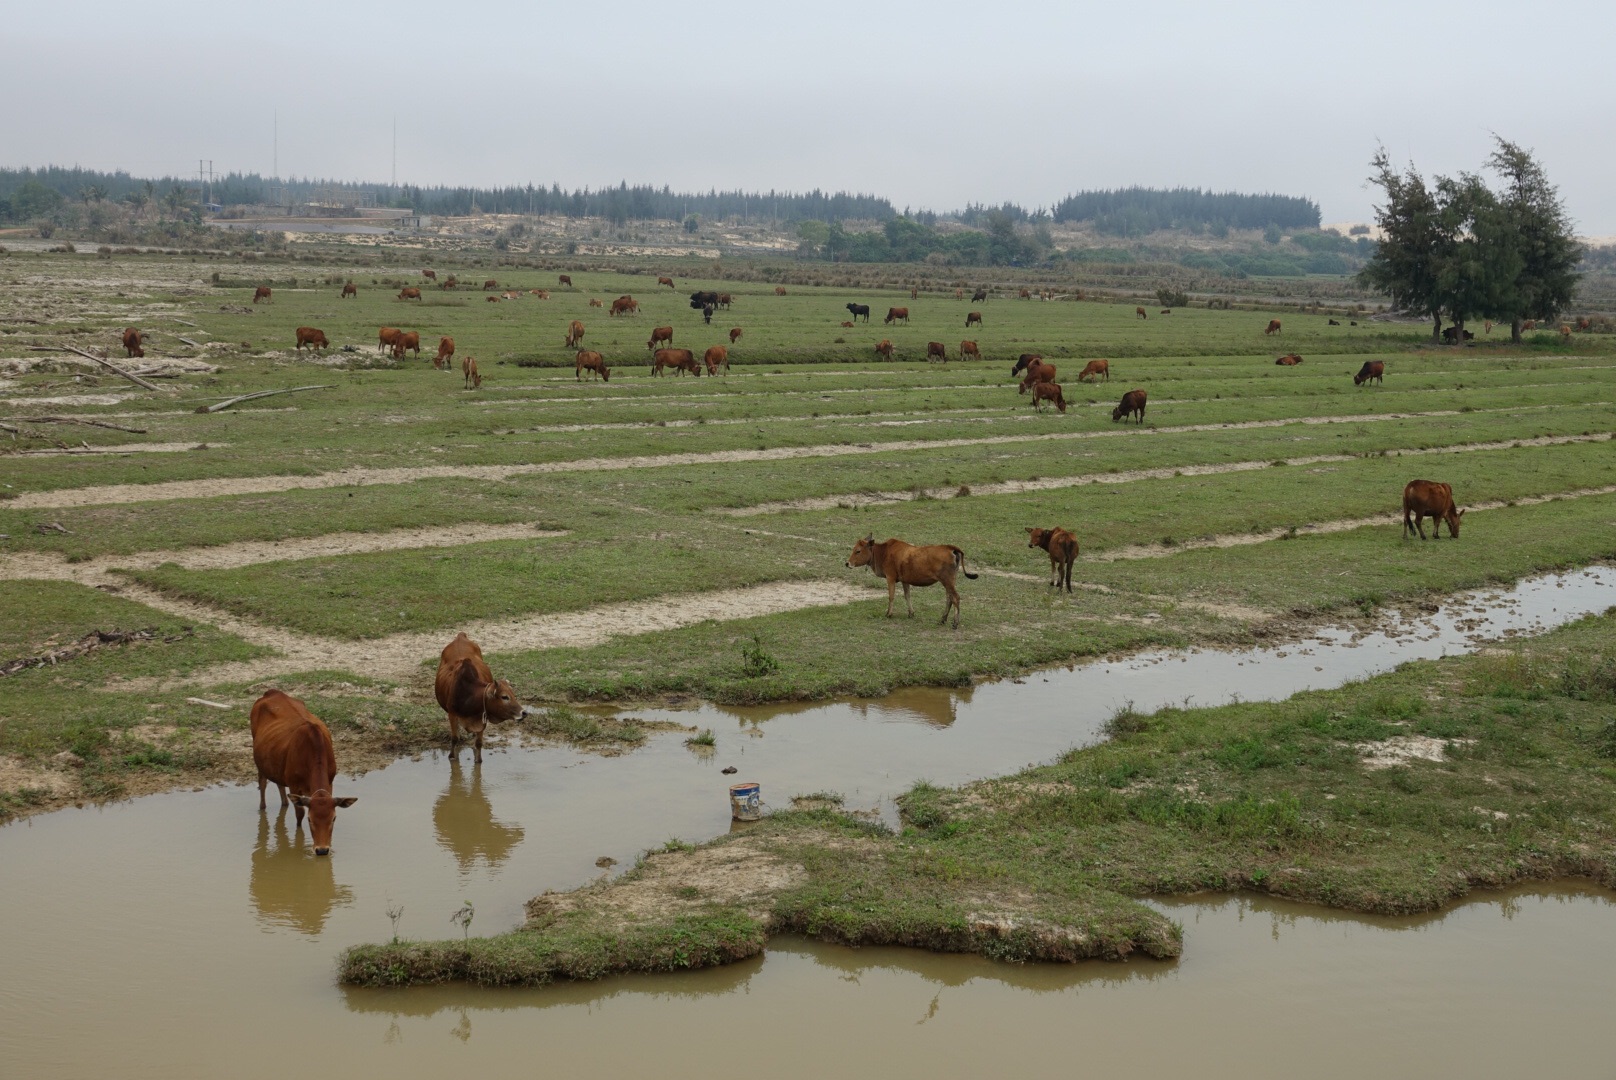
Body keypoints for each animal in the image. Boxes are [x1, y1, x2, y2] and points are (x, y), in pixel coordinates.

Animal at [248, 688, 357, 853]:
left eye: (334, 818)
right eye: (310, 819)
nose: (322, 850)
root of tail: (272, 692)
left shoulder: (330, 781)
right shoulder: (294, 785)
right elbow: (299, 813)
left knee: (280, 785)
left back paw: (284, 805)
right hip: (260, 762)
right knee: (263, 784)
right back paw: (263, 808)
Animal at [436, 627, 523, 763]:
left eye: (513, 695)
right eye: (504, 697)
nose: (524, 712)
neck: (468, 695)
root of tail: (460, 636)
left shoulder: (482, 719)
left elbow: (478, 743)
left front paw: (478, 759)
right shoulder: (452, 714)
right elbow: (455, 738)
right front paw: (452, 756)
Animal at [840, 533, 976, 627]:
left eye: (858, 551)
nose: (847, 563)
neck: (883, 552)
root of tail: (951, 548)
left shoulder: (890, 578)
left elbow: (891, 596)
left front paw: (889, 614)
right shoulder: (905, 581)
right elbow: (907, 596)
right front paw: (911, 613)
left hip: (947, 581)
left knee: (956, 598)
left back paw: (955, 623)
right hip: (949, 582)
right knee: (949, 598)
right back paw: (942, 619)